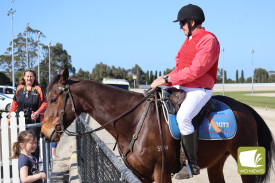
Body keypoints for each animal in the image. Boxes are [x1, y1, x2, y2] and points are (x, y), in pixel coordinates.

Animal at [40, 69, 274, 183]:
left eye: (53, 99)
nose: (44, 133)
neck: (135, 120)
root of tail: (246, 108)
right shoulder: (141, 176)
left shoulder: (161, 173)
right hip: (217, 163)